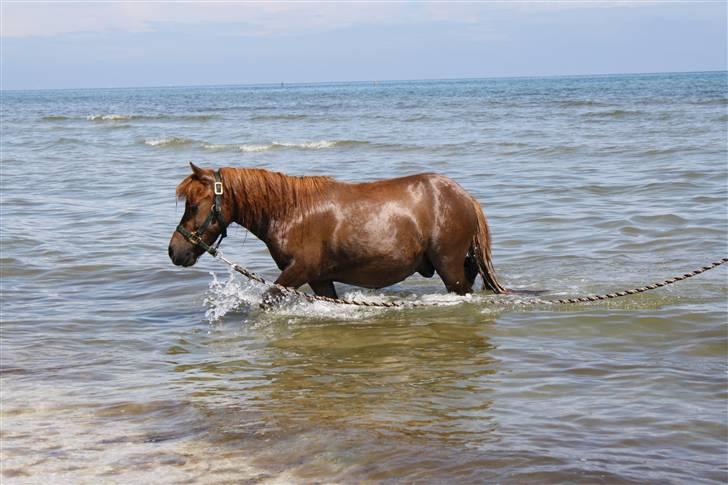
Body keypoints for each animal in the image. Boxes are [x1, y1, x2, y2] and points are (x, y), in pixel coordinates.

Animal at [168, 164, 506, 302]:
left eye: (193, 205)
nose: (174, 251)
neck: (291, 212)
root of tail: (464, 197)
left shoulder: (299, 271)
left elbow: (267, 299)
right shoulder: (319, 278)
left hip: (449, 267)